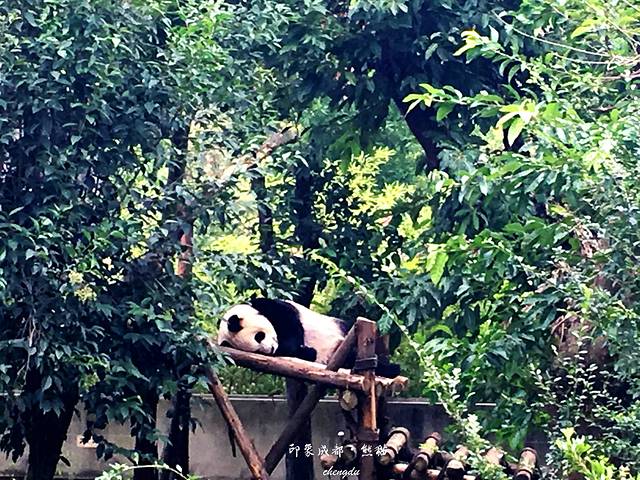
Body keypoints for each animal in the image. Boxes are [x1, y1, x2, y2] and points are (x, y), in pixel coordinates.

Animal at [217, 297, 400, 377]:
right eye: (257, 351)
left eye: (259, 336)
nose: (271, 349)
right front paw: (307, 352)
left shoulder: (271, 306)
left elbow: (291, 323)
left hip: (345, 331)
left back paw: (391, 368)